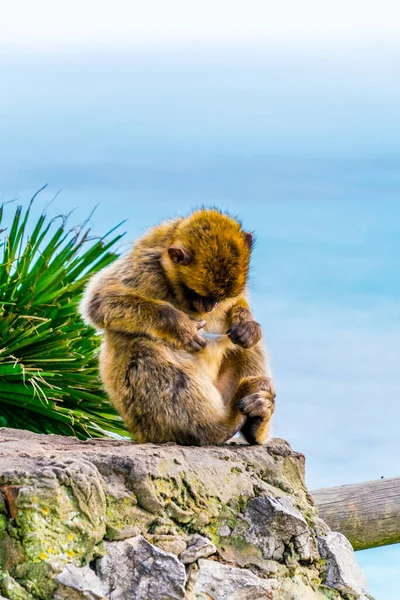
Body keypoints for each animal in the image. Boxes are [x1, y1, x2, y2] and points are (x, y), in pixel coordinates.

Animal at [80, 207, 276, 446]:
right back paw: (216, 429)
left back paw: (256, 423)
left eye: (220, 297)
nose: (210, 306)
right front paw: (181, 327)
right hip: (148, 425)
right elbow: (100, 301)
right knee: (143, 346)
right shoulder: (147, 267)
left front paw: (246, 324)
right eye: (200, 295)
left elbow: (238, 309)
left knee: (244, 346)